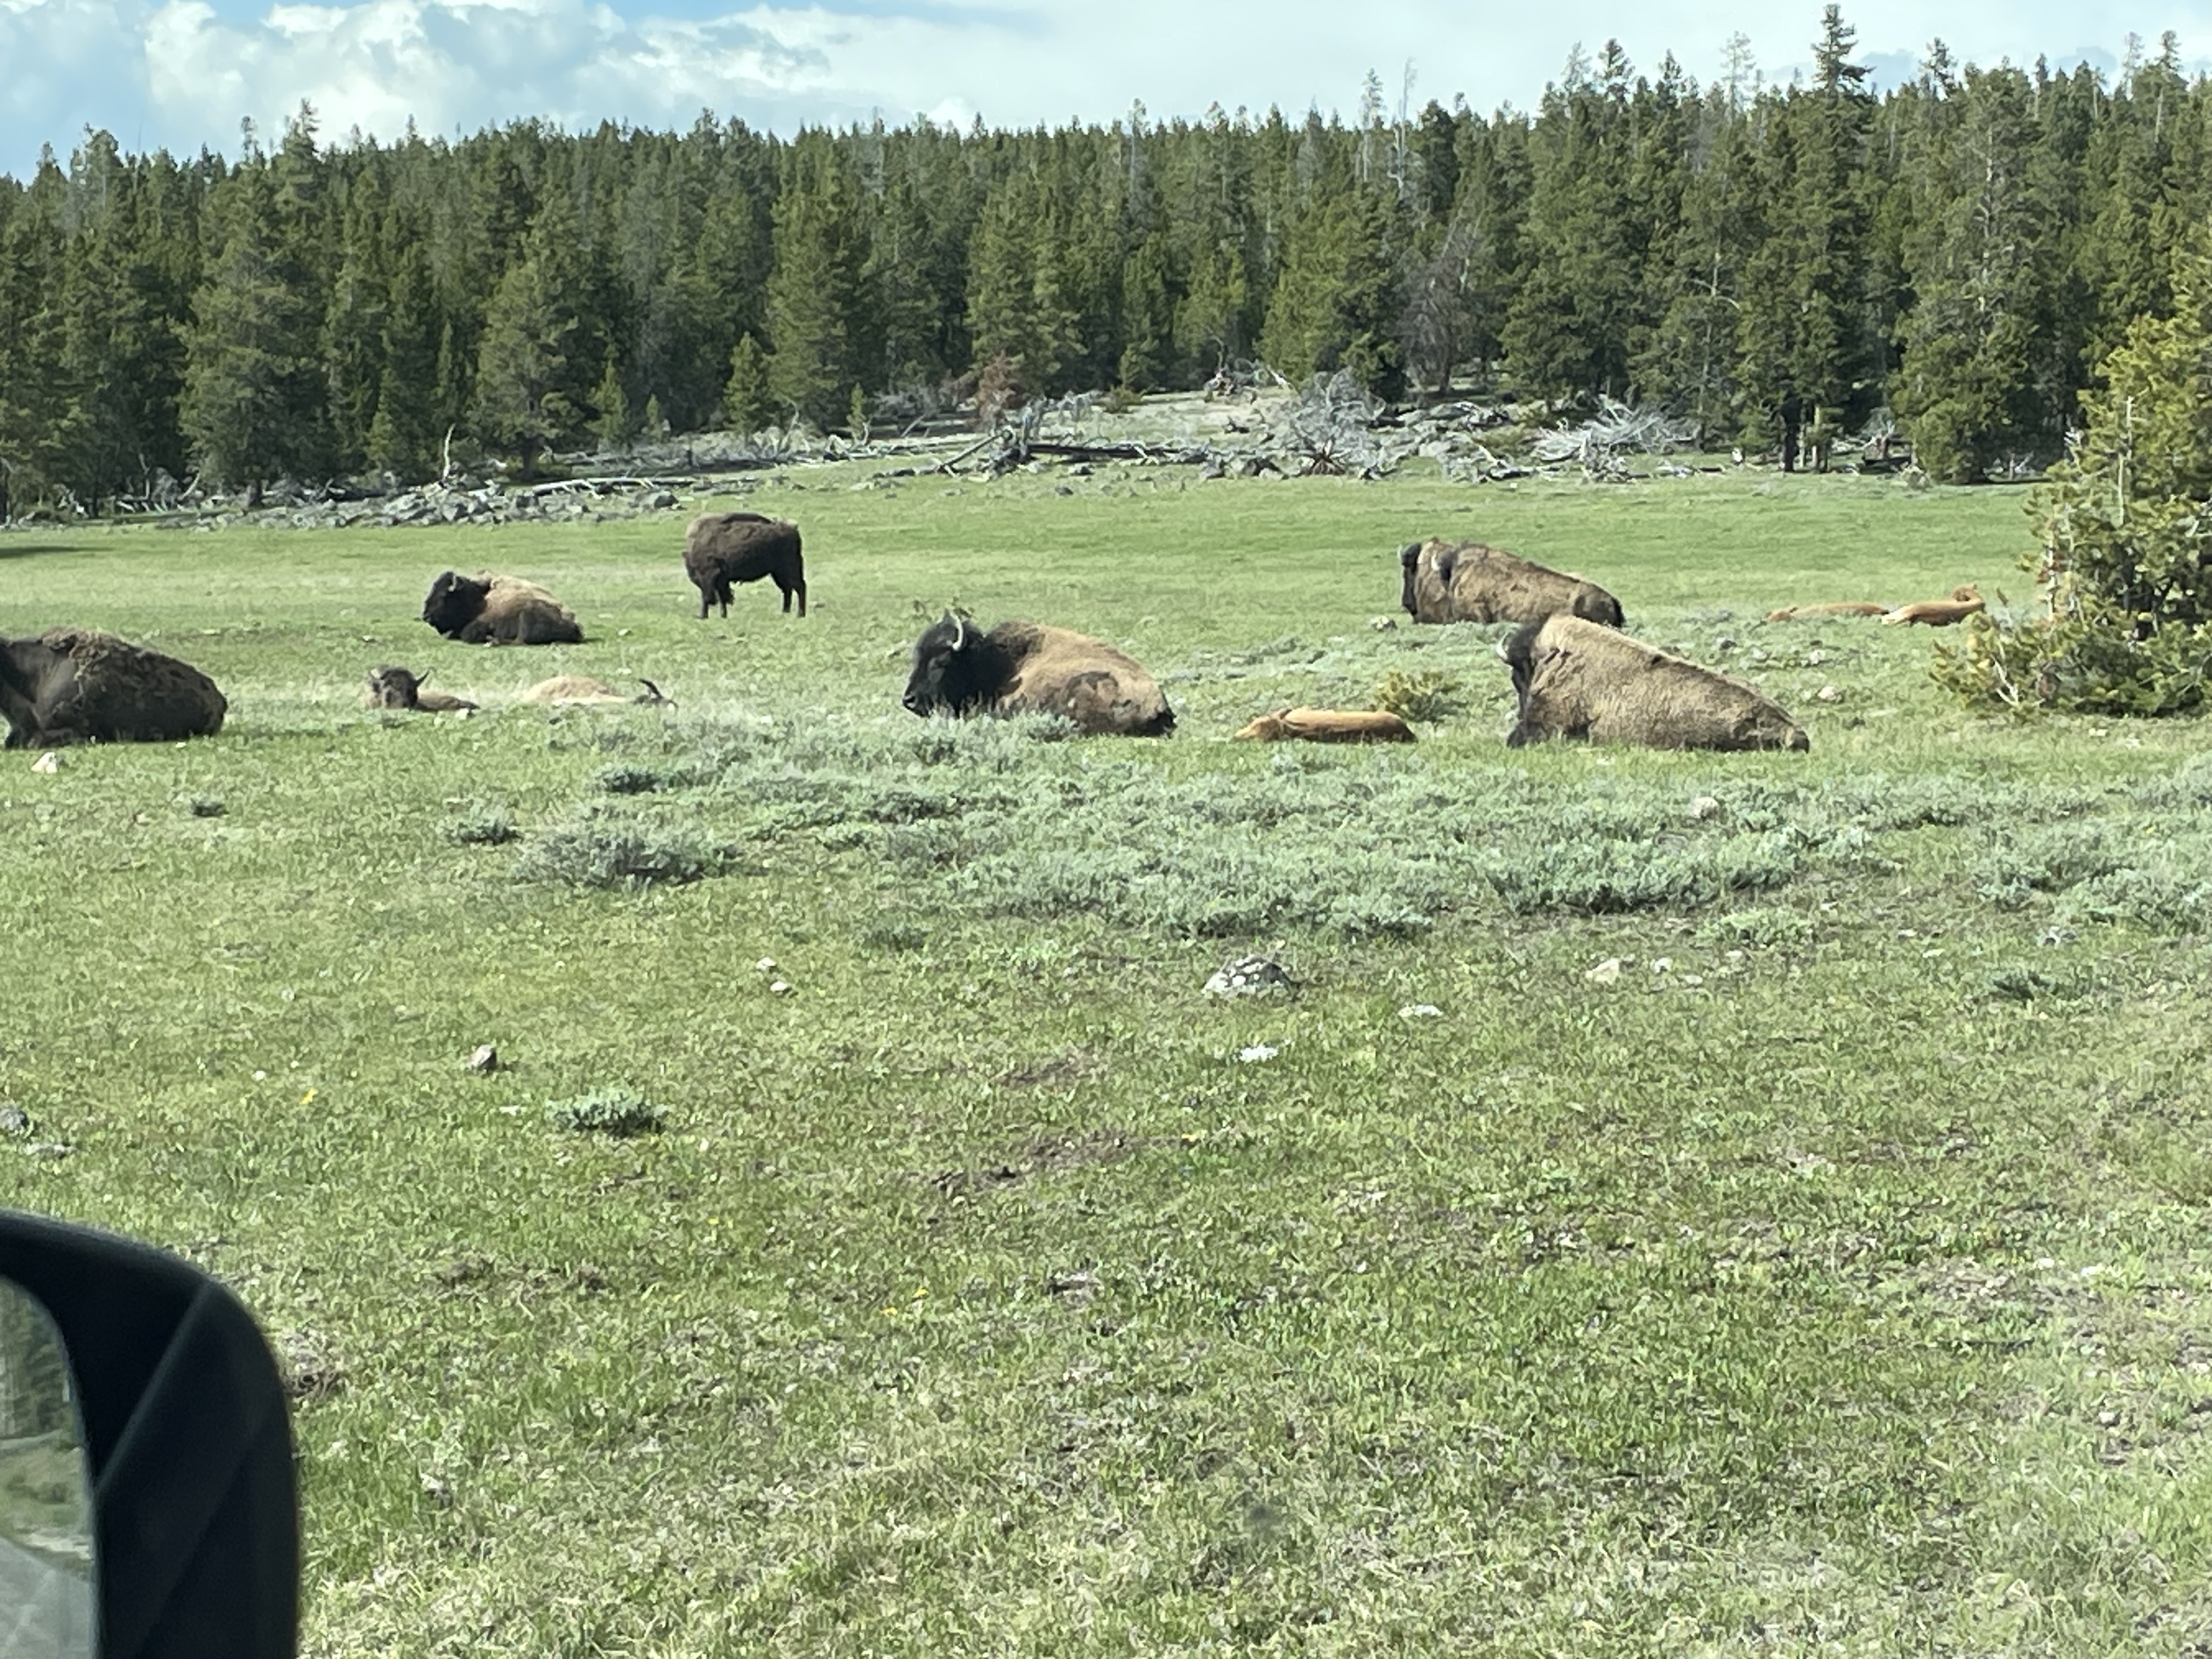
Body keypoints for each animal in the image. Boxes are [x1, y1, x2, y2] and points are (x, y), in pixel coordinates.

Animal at [421, 572, 583, 645]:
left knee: (521, 640)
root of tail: (577, 627)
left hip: (528, 611)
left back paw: (493, 641)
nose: (426, 616)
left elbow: (468, 633)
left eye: (443, 595)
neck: (481, 598)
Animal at [684, 512, 805, 619]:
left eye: (715, 575)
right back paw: (785, 612)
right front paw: (716, 616)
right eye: (697, 576)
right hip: (778, 574)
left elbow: (721, 596)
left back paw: (800, 614)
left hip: (788, 570)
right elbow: (719, 598)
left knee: (799, 587)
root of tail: (793, 530)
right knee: (788, 589)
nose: (711, 600)